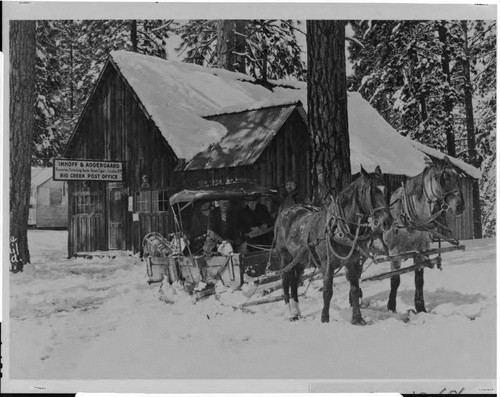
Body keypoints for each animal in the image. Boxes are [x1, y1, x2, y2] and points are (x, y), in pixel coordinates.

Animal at [274, 166, 394, 324]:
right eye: (369, 191)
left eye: (385, 189)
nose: (387, 221)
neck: (340, 228)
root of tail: (285, 213)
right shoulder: (327, 264)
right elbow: (327, 291)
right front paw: (325, 319)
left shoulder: (353, 262)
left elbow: (354, 289)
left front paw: (357, 318)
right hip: (285, 256)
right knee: (286, 280)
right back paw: (290, 313)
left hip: (300, 260)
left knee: (294, 281)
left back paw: (297, 312)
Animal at [376, 156, 464, 314]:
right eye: (445, 177)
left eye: (458, 177)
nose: (460, 206)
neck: (408, 217)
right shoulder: (394, 252)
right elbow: (395, 280)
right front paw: (391, 307)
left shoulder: (421, 249)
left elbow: (419, 279)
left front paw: (420, 307)